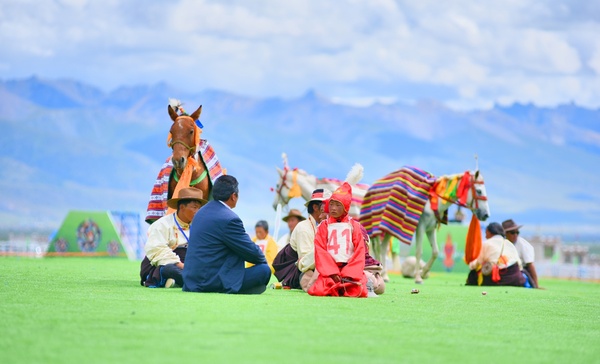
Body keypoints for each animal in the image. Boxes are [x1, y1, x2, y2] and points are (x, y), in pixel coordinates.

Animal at [358, 166, 490, 282]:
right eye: (479, 191)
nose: (486, 215)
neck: (432, 201)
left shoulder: (431, 228)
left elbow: (435, 252)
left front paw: (423, 272)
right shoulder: (420, 227)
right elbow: (419, 251)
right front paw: (418, 277)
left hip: (389, 229)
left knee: (383, 248)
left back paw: (384, 275)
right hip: (378, 227)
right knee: (379, 249)